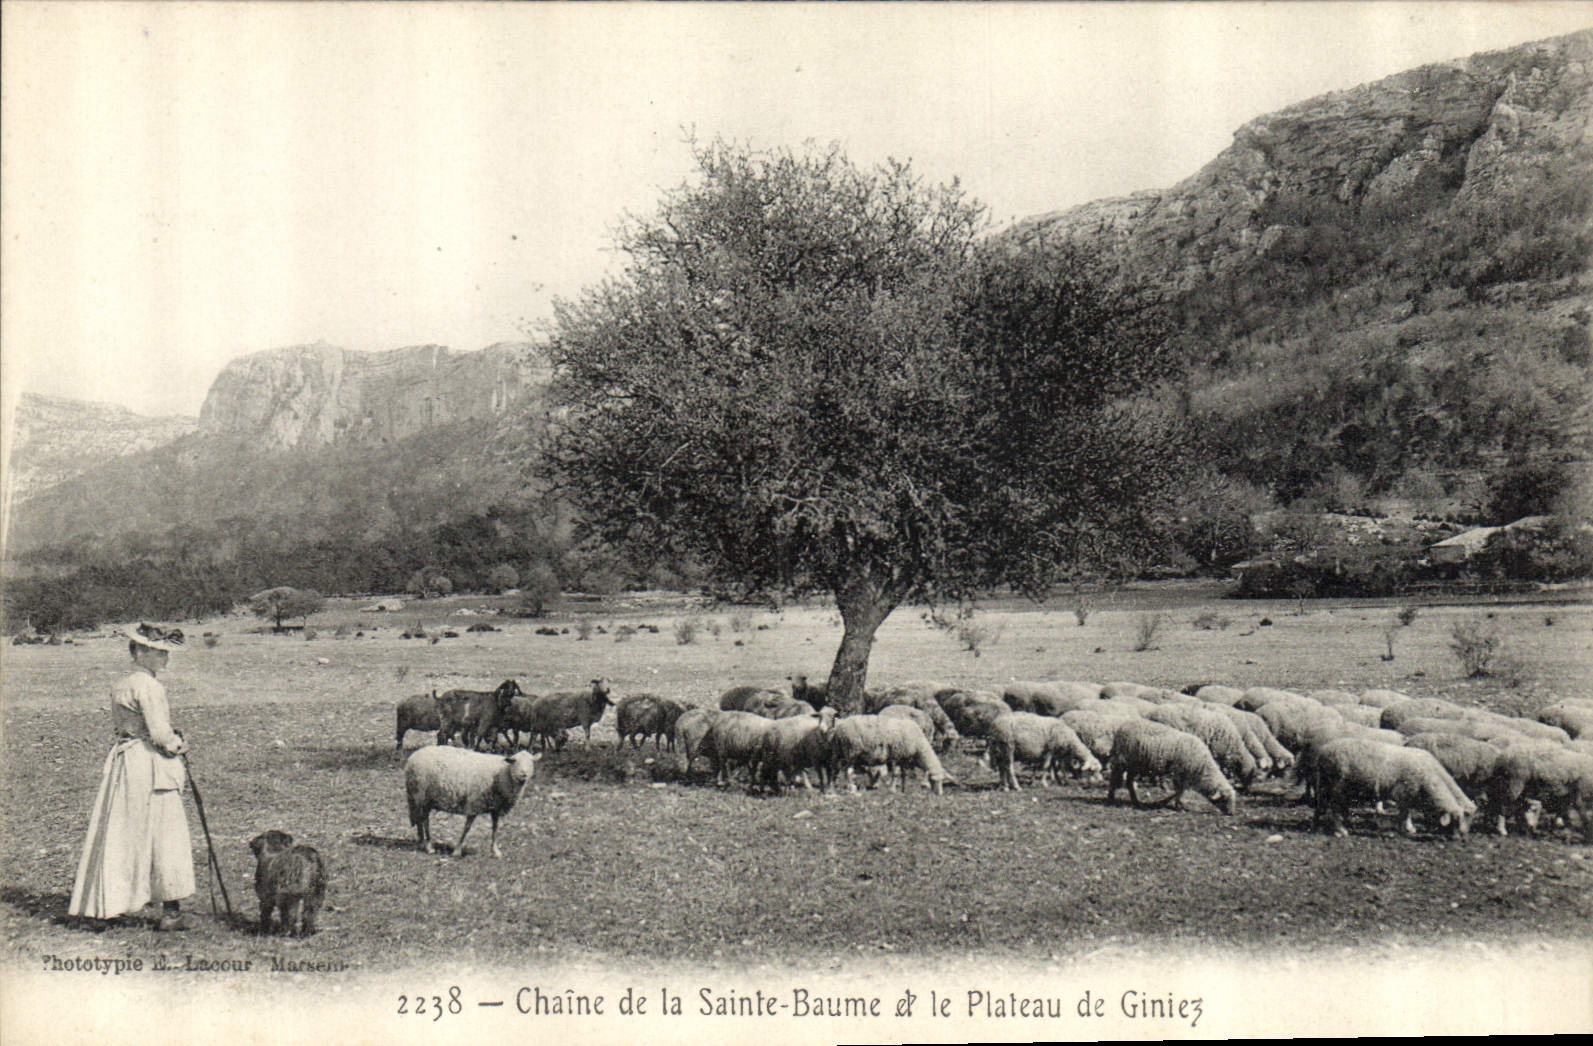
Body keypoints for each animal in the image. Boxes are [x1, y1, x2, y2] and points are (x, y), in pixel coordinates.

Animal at [404, 746, 540, 857]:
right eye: (515, 761)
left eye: (531, 762)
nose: (523, 774)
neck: (503, 774)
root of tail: (413, 756)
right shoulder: (474, 804)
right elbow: (467, 828)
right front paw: (457, 850)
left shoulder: (496, 808)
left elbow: (495, 829)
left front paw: (495, 851)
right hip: (421, 795)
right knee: (424, 820)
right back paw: (428, 846)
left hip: (423, 799)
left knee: (420, 820)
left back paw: (422, 843)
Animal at [826, 715, 955, 794]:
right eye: (934, 780)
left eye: (942, 781)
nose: (940, 794)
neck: (919, 746)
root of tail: (838, 728)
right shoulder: (895, 756)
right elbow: (895, 773)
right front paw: (892, 789)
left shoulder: (903, 757)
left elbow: (903, 774)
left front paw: (902, 788)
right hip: (851, 751)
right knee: (848, 771)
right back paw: (851, 789)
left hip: (838, 751)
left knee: (834, 768)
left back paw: (832, 787)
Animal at [1107, 718, 1237, 814]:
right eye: (1224, 799)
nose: (1231, 813)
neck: (1202, 765)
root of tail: (1123, 726)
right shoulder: (1179, 772)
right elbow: (1179, 790)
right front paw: (1178, 806)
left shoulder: (1185, 775)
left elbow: (1181, 790)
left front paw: (1175, 803)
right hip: (1122, 761)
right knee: (1113, 778)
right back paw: (1111, 798)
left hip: (1134, 765)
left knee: (1129, 781)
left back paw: (1135, 801)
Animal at [1310, 736, 1472, 838]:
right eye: (1458, 819)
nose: (1461, 838)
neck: (1429, 777)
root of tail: (1323, 751)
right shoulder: (1403, 792)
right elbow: (1404, 813)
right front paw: (1401, 829)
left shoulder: (1409, 794)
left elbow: (1407, 812)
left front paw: (1409, 828)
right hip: (1336, 785)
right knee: (1334, 808)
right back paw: (1341, 830)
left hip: (1326, 784)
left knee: (1321, 804)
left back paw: (1318, 824)